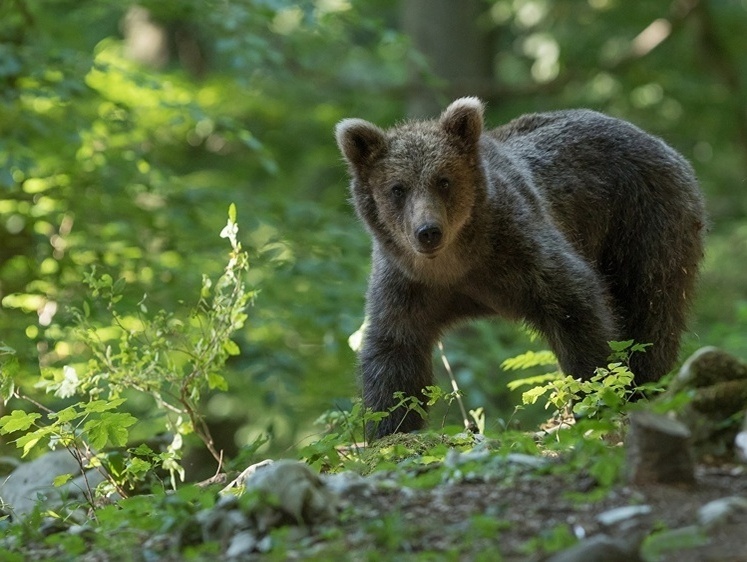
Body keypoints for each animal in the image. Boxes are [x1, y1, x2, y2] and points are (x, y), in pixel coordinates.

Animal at [336, 96, 704, 438]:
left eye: (443, 180)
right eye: (397, 188)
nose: (428, 232)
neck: (458, 265)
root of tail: (655, 140)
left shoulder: (521, 249)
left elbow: (576, 306)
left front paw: (596, 395)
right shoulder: (408, 284)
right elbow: (394, 352)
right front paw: (389, 428)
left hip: (643, 221)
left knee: (651, 312)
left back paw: (647, 385)